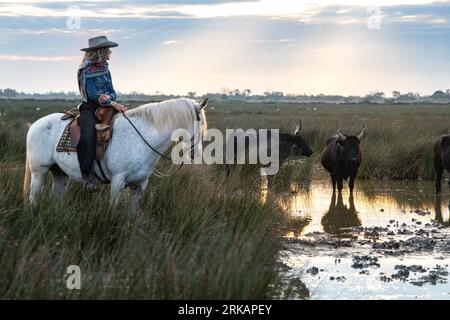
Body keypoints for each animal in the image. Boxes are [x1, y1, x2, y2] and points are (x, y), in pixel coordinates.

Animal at [23, 99, 209, 211]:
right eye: (201, 125)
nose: (196, 153)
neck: (141, 137)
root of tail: (35, 125)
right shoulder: (117, 181)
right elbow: (113, 210)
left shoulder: (140, 185)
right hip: (39, 172)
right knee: (34, 197)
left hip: (60, 173)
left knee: (56, 197)